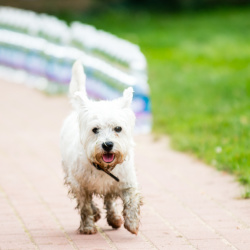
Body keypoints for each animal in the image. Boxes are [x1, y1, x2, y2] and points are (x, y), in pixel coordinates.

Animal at [59, 60, 143, 234]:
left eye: (118, 128)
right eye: (95, 129)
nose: (107, 145)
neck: (103, 168)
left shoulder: (126, 181)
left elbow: (131, 199)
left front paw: (132, 223)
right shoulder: (79, 184)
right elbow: (85, 206)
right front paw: (87, 226)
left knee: (110, 200)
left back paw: (115, 218)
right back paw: (98, 215)